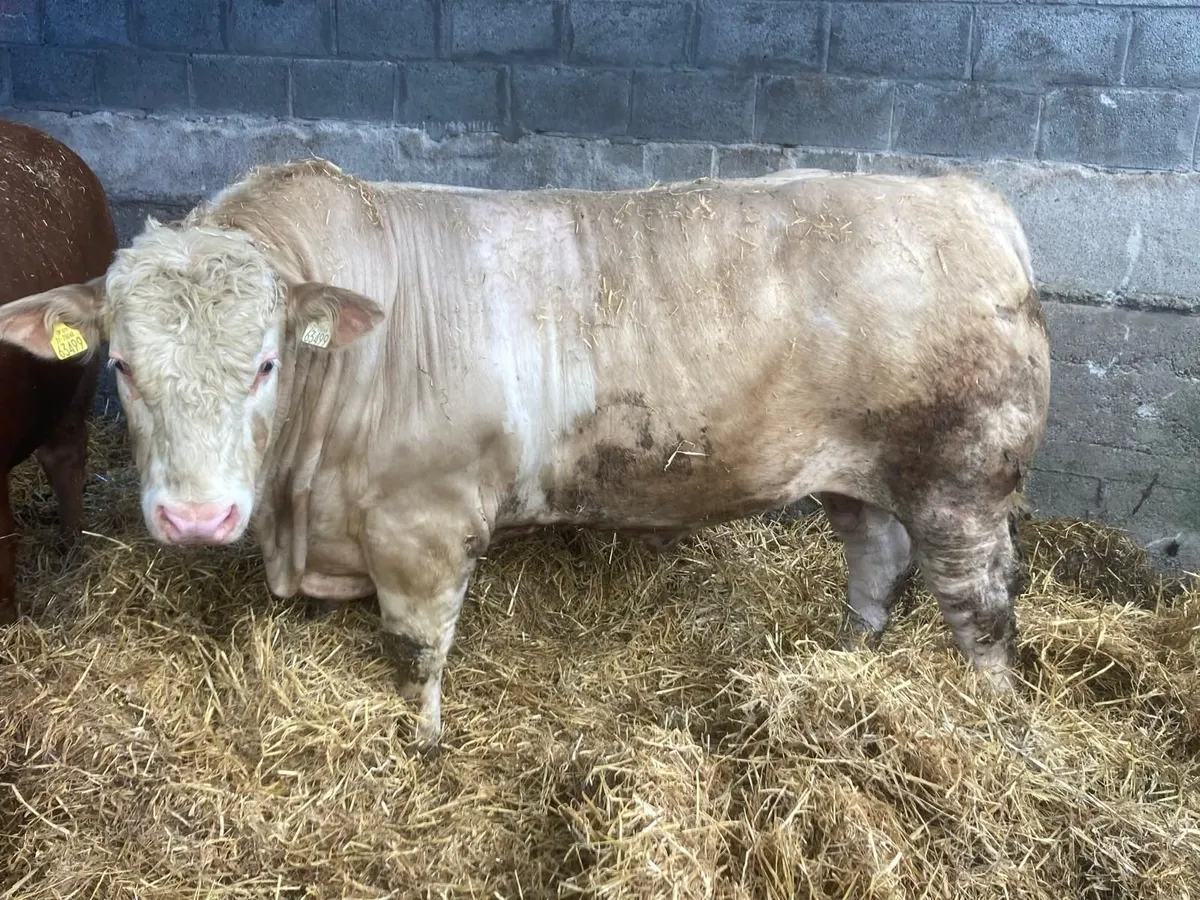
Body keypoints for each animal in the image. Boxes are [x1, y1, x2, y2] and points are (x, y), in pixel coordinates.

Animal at [0, 160, 1050, 747]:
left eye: (264, 363)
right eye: (122, 366)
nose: (195, 517)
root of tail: (969, 198)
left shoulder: (424, 525)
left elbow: (417, 649)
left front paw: (420, 742)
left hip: (963, 479)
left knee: (981, 610)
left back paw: (997, 725)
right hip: (857, 474)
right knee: (875, 558)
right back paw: (845, 656)